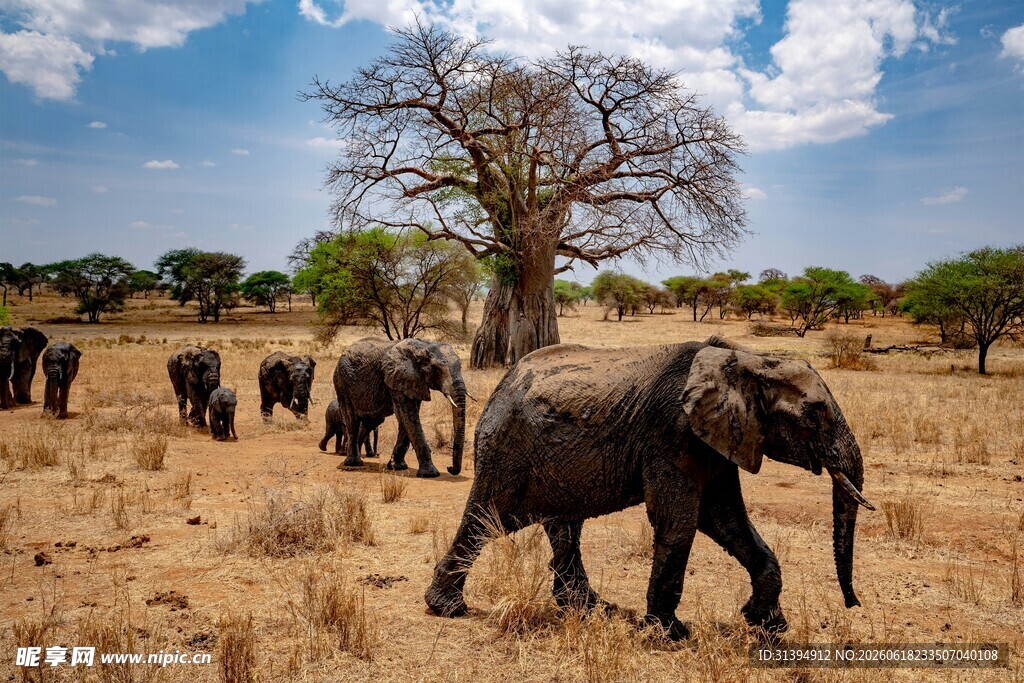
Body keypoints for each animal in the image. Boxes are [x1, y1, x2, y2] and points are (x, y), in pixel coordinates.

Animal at [333, 337, 467, 478]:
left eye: (460, 366)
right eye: (436, 369)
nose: (449, 468)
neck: (422, 346)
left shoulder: (413, 381)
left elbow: (407, 419)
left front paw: (397, 466)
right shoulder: (398, 377)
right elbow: (408, 415)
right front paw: (430, 474)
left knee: (371, 421)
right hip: (341, 382)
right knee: (352, 419)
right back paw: (353, 463)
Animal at [425, 337, 874, 641]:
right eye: (814, 415)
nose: (854, 604)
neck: (747, 359)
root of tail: (503, 383)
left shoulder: (720, 437)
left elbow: (726, 519)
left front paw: (768, 626)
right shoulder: (671, 433)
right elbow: (680, 522)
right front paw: (670, 633)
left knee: (562, 527)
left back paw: (589, 609)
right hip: (507, 448)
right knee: (487, 519)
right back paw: (448, 608)